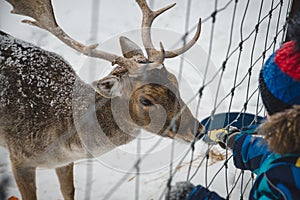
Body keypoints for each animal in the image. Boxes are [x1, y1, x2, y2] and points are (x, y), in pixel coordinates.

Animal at [0, 0, 203, 200]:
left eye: (174, 79)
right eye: (146, 100)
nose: (198, 130)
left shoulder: (64, 163)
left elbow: (68, 191)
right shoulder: (18, 159)